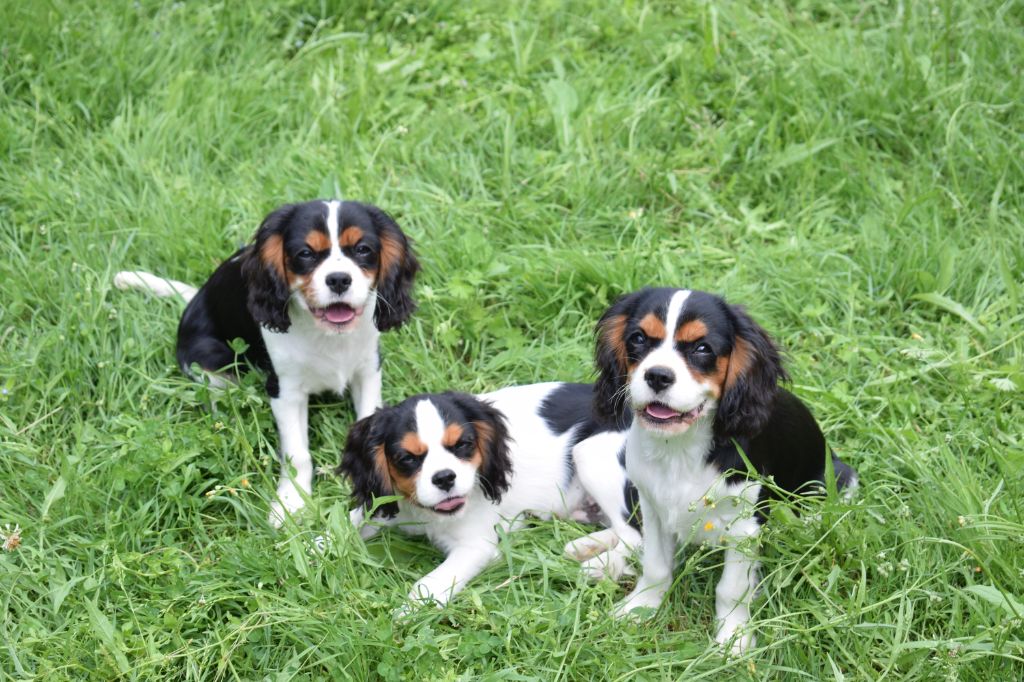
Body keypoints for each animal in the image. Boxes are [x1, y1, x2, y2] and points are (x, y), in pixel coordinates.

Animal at [117, 199, 421, 522]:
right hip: (211, 364)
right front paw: (291, 502)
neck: (327, 335)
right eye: (305, 254)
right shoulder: (284, 390)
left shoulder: (367, 370)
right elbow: (297, 454)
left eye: (363, 249)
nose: (339, 279)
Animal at [339, 382, 622, 606]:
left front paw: (408, 612)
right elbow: (347, 524)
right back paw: (586, 546)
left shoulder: (476, 546)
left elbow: (430, 583)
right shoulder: (385, 502)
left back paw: (601, 565)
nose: (445, 477)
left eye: (463, 445)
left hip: (590, 455)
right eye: (407, 458)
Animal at [569, 284, 856, 647]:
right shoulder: (653, 507)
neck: (680, 447)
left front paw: (733, 640)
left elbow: (731, 589)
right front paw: (641, 607)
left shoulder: (745, 526)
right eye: (638, 339)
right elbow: (655, 564)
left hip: (832, 484)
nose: (657, 375)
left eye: (702, 348)